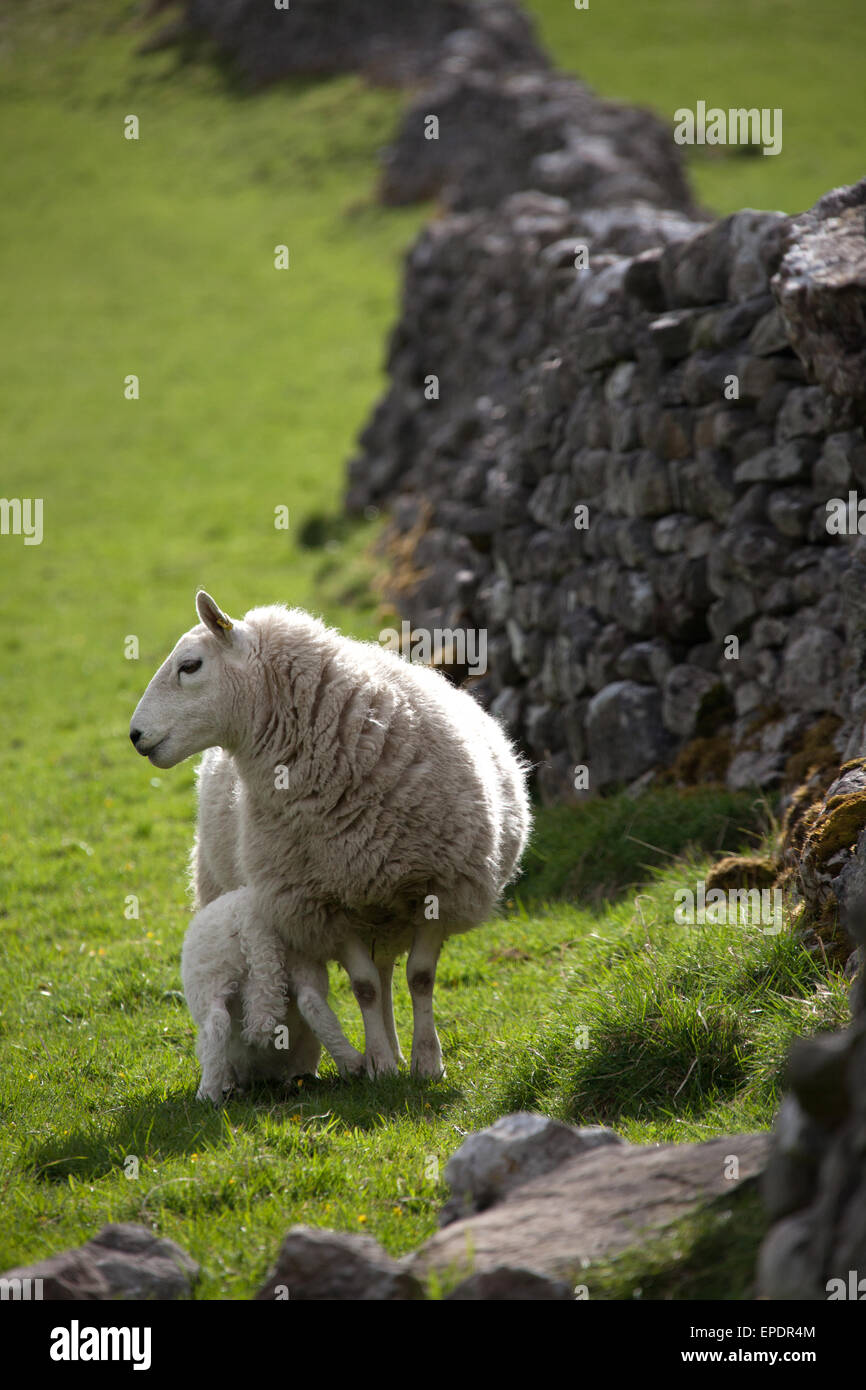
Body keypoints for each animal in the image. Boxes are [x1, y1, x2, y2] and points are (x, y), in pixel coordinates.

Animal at [130, 589, 532, 1082]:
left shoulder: (443, 886)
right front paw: (381, 1065)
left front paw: (427, 1062)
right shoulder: (320, 903)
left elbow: (420, 978)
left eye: (189, 666)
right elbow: (364, 987)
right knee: (379, 975)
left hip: (385, 907)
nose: (135, 735)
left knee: (389, 970)